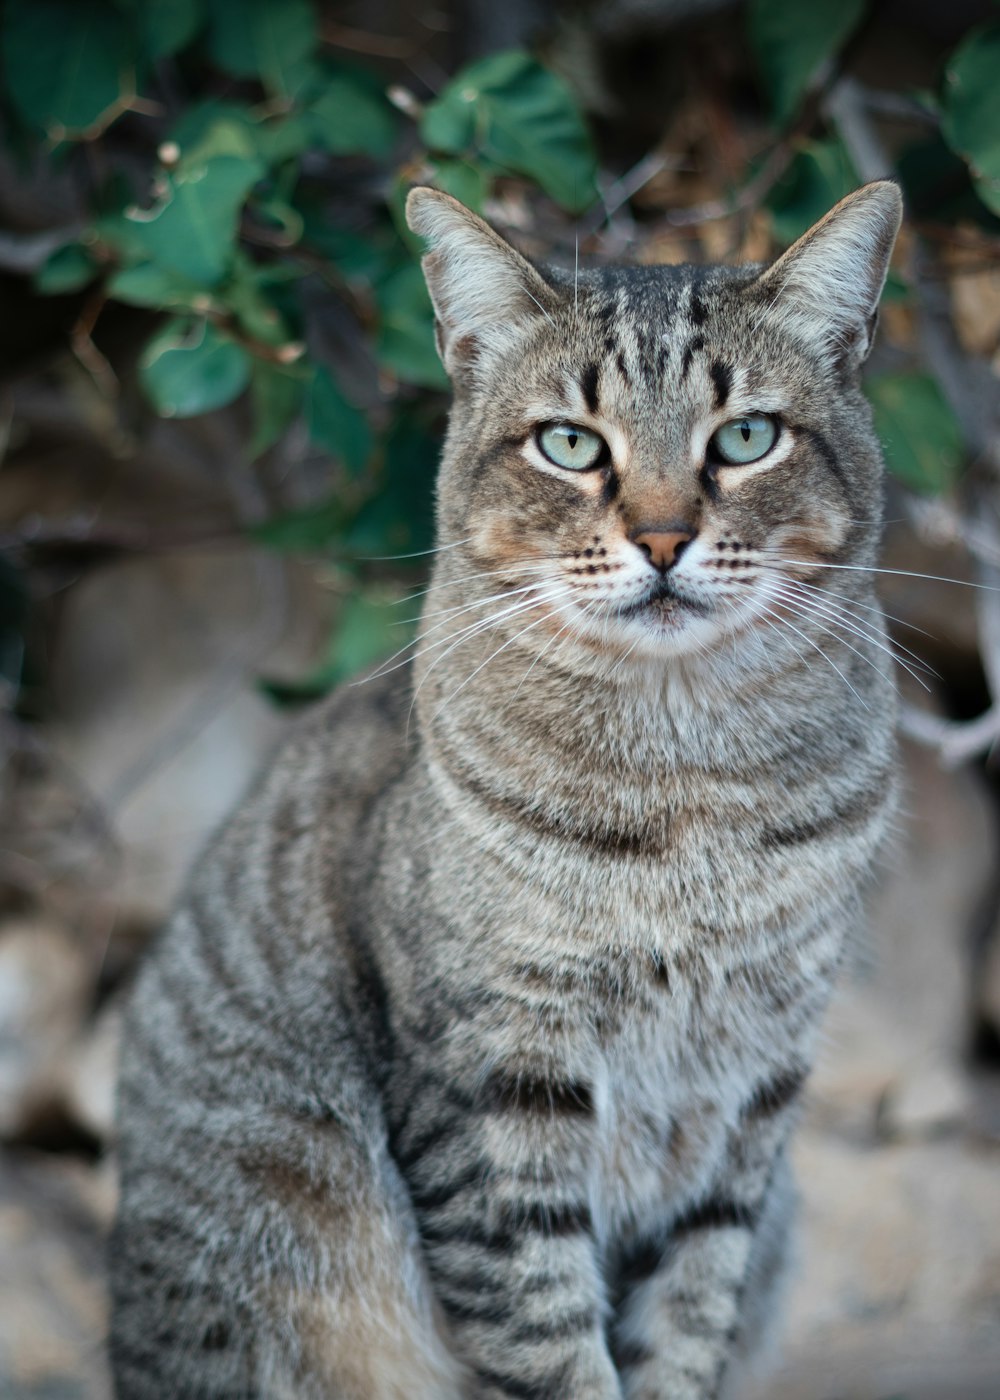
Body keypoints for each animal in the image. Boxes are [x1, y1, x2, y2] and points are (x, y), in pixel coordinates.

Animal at [112, 183, 901, 1400]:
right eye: (570, 443)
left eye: (746, 437)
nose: (663, 537)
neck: (688, 790)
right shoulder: (495, 1083)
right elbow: (548, 1343)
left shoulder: (750, 1098)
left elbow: (687, 1320)